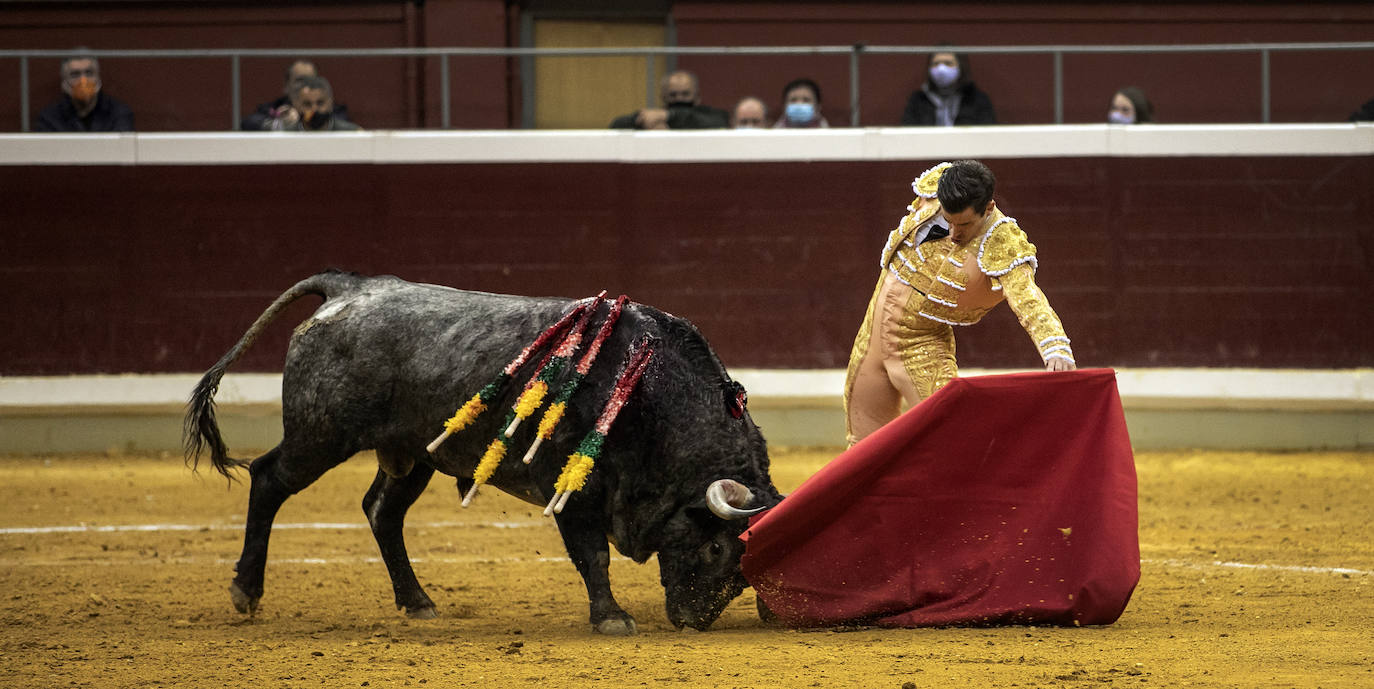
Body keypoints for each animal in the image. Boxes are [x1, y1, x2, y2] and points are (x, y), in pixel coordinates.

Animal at [184, 269, 785, 632]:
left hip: (411, 453)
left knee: (381, 512)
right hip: (321, 434)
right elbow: (592, 554)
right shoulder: (572, 491)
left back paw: (418, 602)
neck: (648, 393)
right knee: (268, 479)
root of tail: (349, 287)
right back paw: (245, 590)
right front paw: (611, 617)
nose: (692, 620)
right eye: (716, 548)